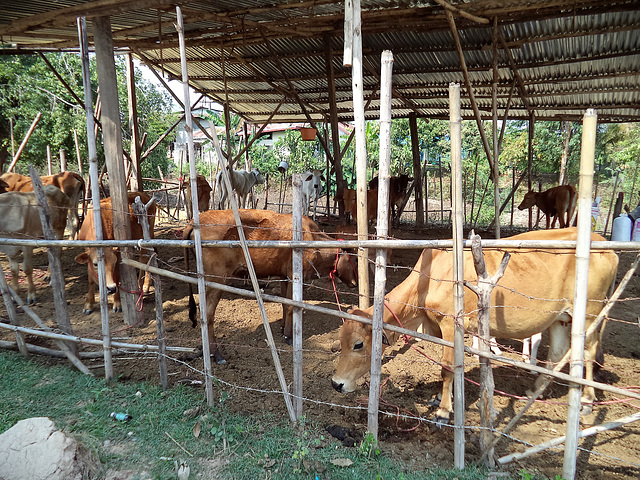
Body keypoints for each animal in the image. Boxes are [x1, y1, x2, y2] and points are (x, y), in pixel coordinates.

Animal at [182, 210, 358, 364]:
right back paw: (216, 354)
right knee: (208, 314)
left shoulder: (283, 276)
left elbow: (285, 303)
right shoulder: (295, 275)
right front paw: (289, 336)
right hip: (216, 281)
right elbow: (291, 307)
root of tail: (195, 220)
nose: (356, 283)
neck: (312, 239)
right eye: (355, 260)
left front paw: (283, 329)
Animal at [332, 229, 616, 424]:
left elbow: (447, 368)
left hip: (589, 313)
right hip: (559, 318)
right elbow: (449, 366)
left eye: (358, 344)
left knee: (588, 352)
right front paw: (441, 399)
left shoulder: (450, 323)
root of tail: (604, 244)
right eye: (340, 340)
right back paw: (534, 390)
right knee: (557, 353)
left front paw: (443, 411)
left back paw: (587, 400)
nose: (336, 384)